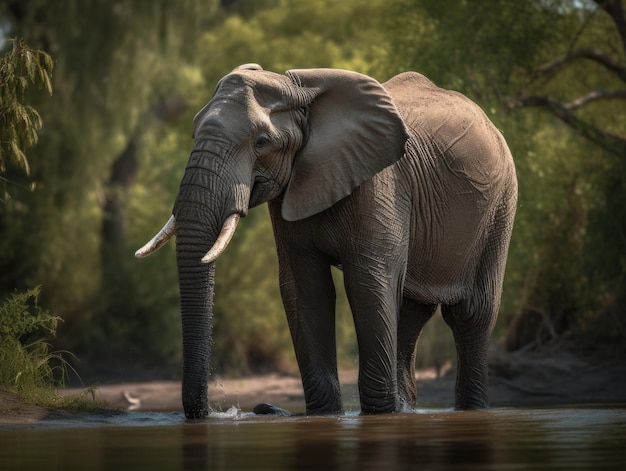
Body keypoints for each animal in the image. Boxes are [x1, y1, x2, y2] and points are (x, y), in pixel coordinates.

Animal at [136, 63, 516, 420]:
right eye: (193, 131)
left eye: (261, 142)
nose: (223, 411)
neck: (302, 93)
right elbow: (305, 289)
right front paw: (326, 414)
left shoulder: (381, 183)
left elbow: (367, 283)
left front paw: (378, 414)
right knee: (411, 312)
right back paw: (405, 409)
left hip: (501, 204)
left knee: (471, 313)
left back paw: (466, 409)